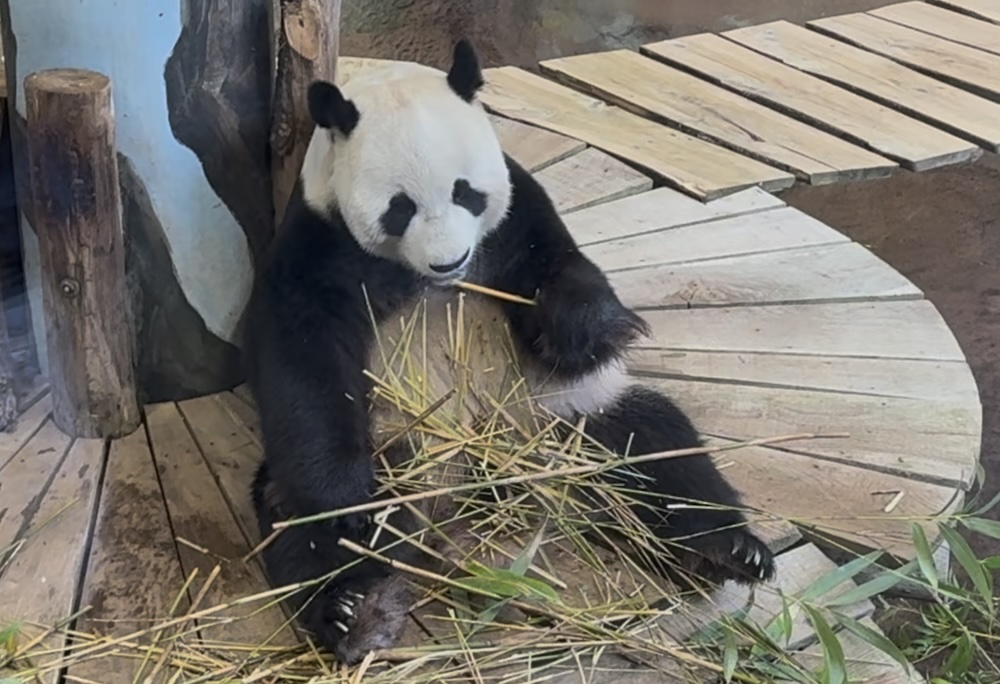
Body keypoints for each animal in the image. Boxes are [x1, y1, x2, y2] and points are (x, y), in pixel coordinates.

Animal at [243, 39, 776, 665]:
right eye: (399, 207)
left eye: (464, 192)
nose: (449, 261)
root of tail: (477, 488)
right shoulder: (320, 242)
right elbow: (303, 360)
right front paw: (345, 495)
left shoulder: (514, 215)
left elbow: (556, 266)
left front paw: (590, 333)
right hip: (401, 448)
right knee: (308, 534)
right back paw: (355, 613)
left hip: (565, 423)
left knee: (657, 446)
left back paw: (726, 551)